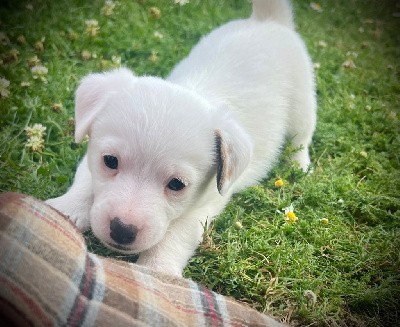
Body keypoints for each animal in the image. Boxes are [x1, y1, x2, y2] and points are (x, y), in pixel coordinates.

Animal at [47, 0, 316, 276]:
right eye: (110, 161)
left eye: (177, 184)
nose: (122, 230)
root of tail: (267, 20)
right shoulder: (90, 159)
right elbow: (84, 183)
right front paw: (63, 210)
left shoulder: (199, 210)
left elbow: (173, 237)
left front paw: (157, 270)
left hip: (303, 105)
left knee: (301, 139)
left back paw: (299, 165)